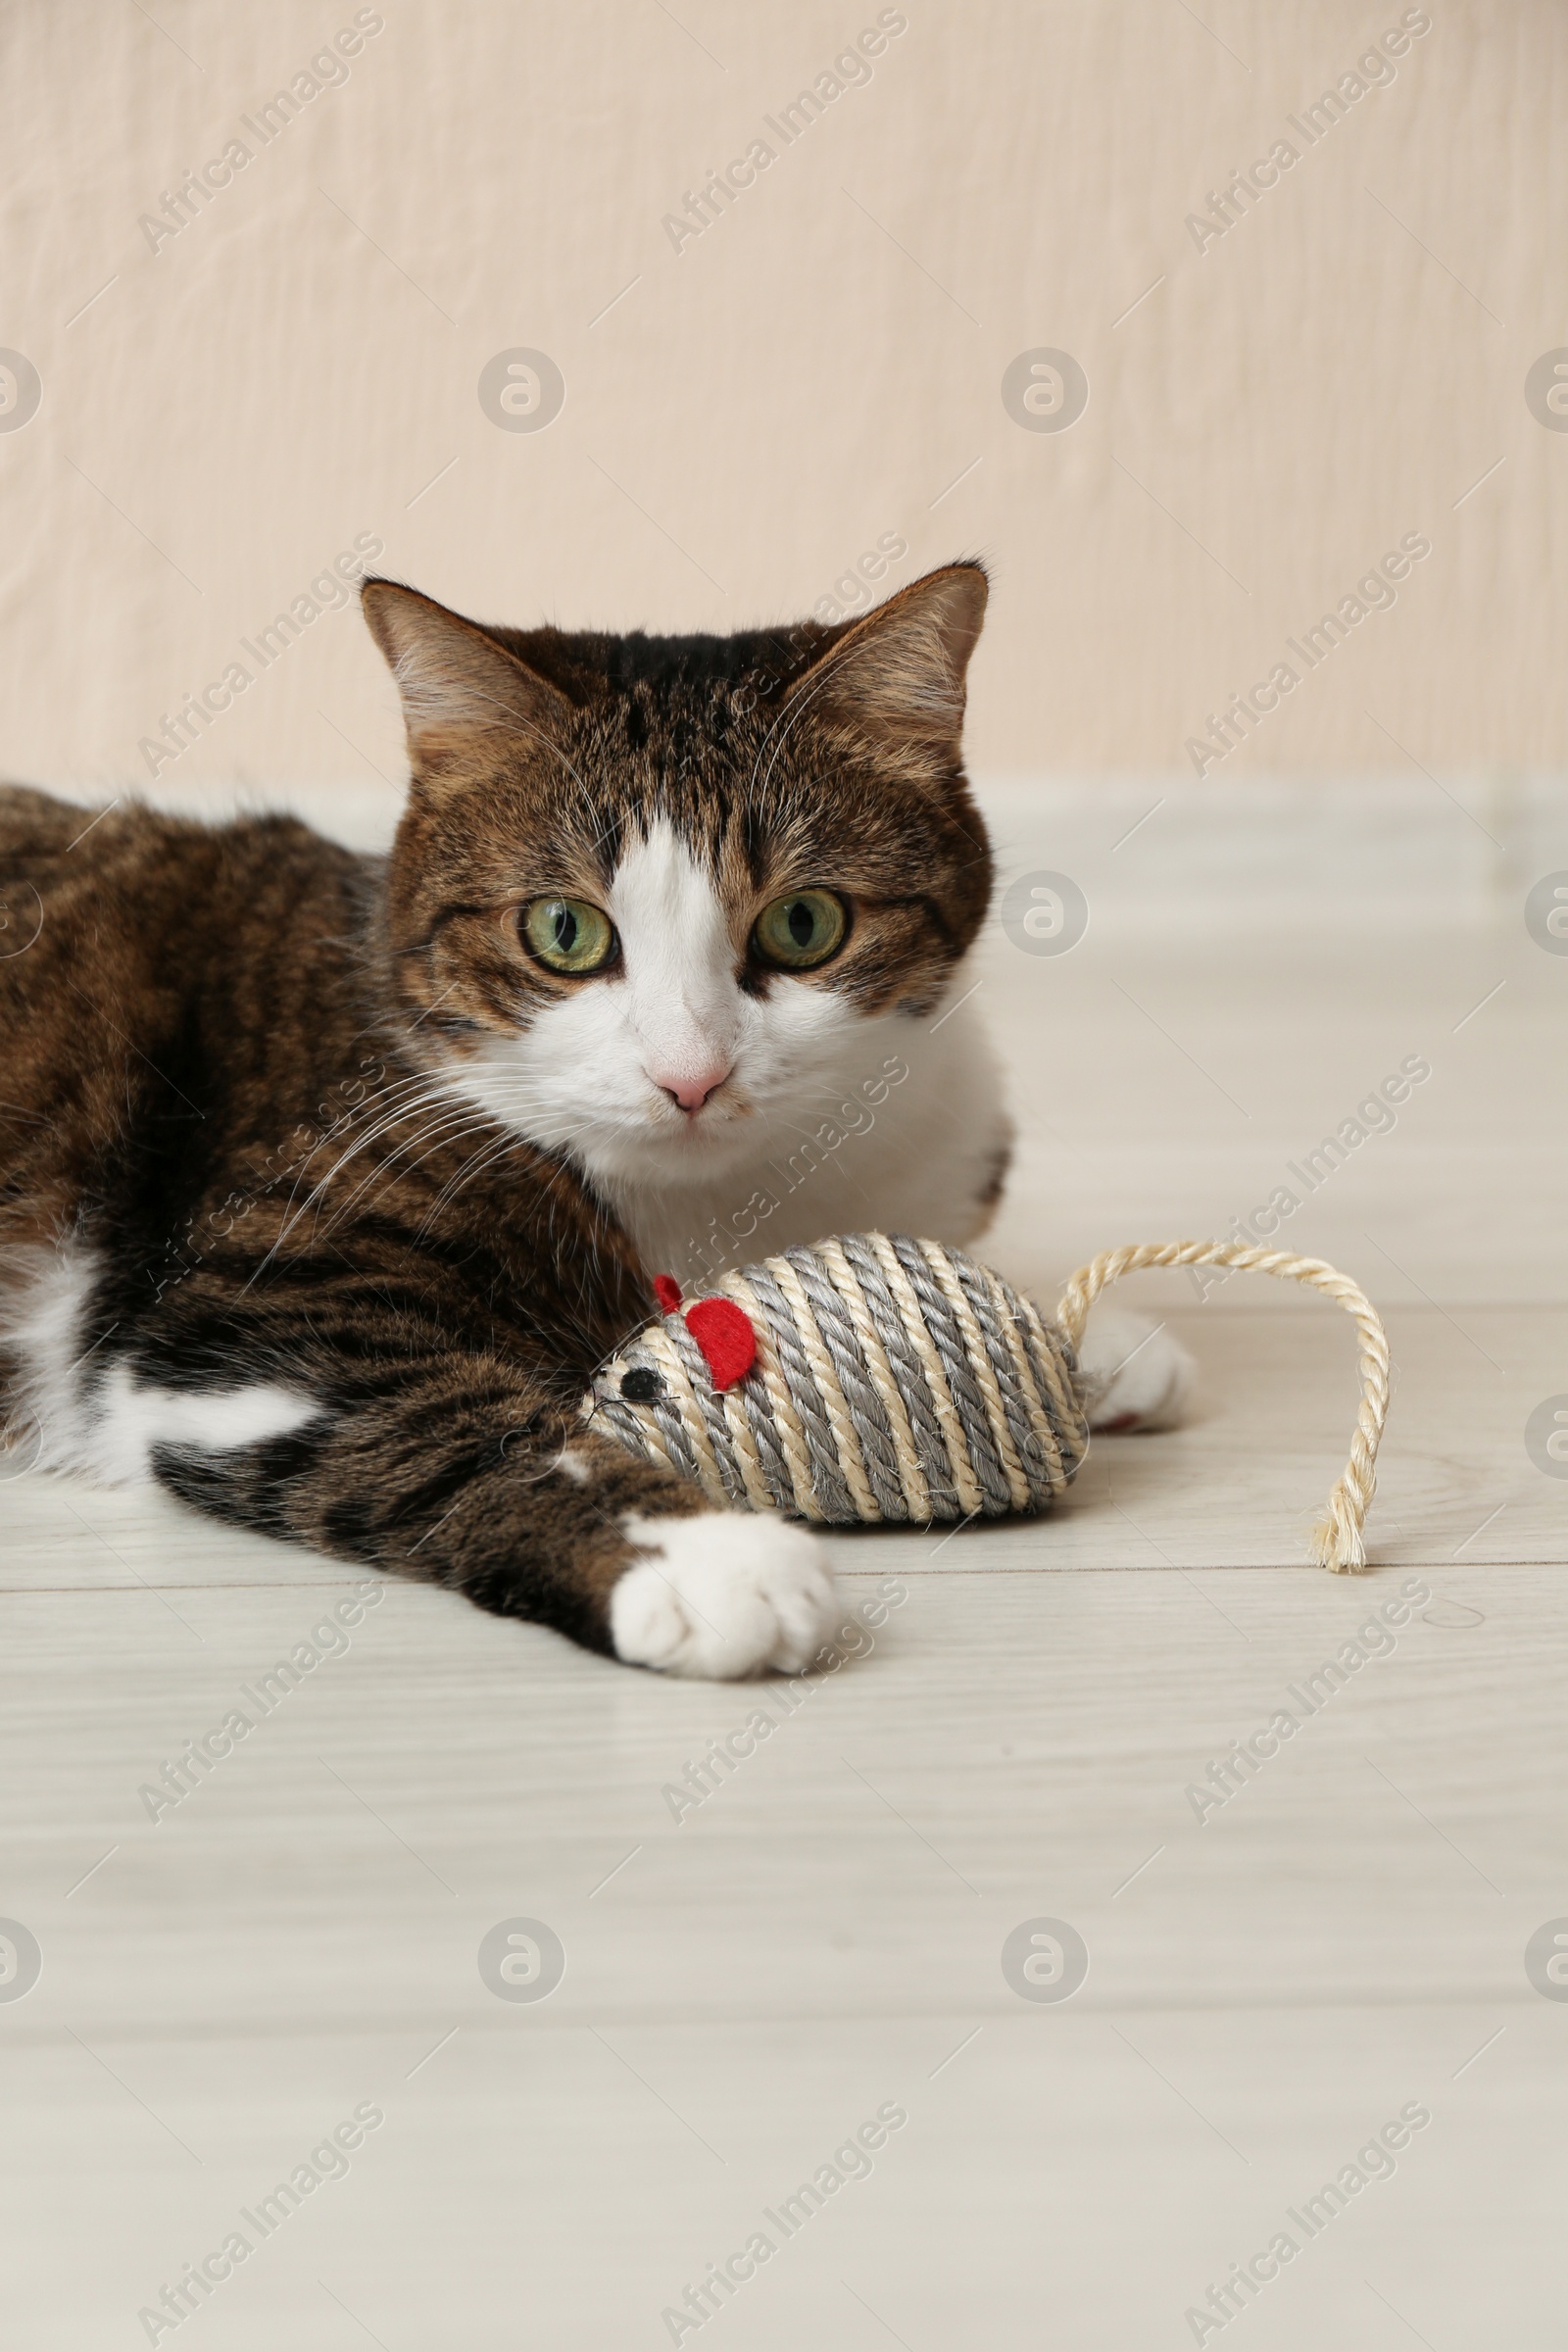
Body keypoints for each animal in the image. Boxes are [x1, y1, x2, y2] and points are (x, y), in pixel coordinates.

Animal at [0, 560, 1175, 1674]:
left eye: (804, 923)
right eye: (564, 931)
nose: (690, 1077)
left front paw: (1086, 1336)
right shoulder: (244, 1305)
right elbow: (466, 1427)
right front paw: (702, 1557)